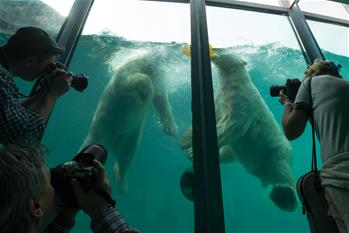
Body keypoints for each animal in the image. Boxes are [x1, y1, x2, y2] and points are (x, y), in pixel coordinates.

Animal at [83, 51, 178, 193]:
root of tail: (111, 145)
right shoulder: (128, 70)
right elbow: (129, 80)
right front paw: (147, 90)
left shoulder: (158, 78)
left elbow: (161, 99)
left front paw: (172, 129)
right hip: (100, 130)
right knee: (89, 145)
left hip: (130, 137)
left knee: (127, 155)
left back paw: (122, 182)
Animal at [179, 51, 296, 211]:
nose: (214, 49)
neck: (233, 82)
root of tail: (264, 176)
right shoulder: (220, 99)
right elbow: (215, 117)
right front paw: (185, 141)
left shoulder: (242, 100)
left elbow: (233, 124)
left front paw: (191, 150)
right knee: (228, 153)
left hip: (275, 150)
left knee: (282, 171)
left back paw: (284, 193)